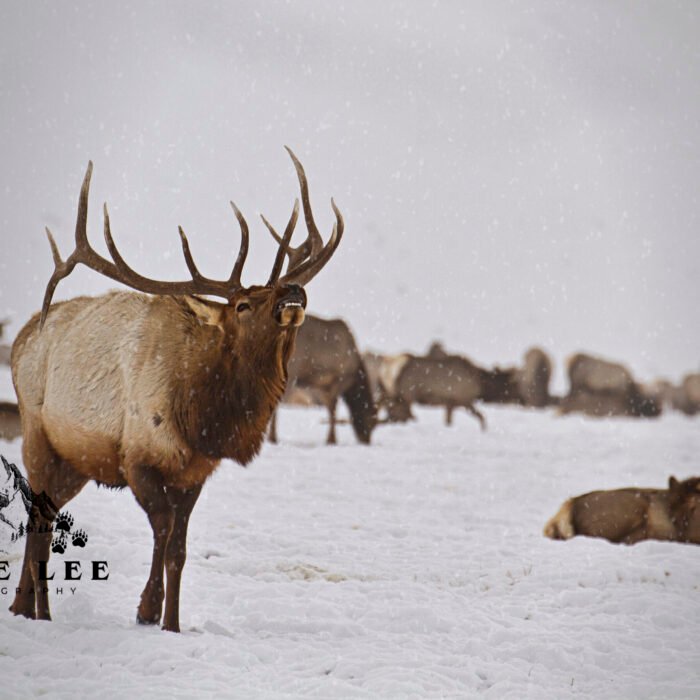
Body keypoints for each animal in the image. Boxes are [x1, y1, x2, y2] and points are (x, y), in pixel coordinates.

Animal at [8, 147, 344, 632]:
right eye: (243, 305)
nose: (293, 290)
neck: (203, 419)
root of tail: (20, 339)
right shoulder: (138, 458)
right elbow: (163, 529)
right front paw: (148, 610)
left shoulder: (195, 472)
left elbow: (180, 550)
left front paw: (172, 622)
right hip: (37, 436)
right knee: (38, 519)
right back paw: (34, 612)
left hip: (75, 463)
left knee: (45, 517)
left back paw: (29, 610)